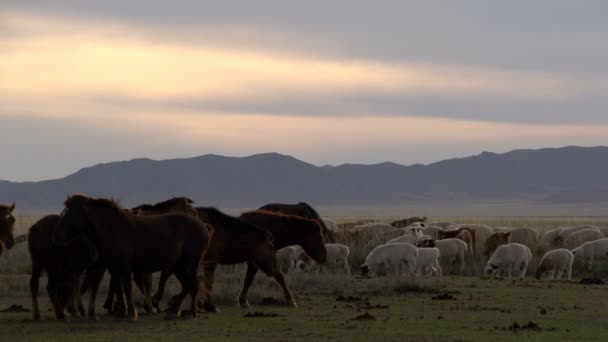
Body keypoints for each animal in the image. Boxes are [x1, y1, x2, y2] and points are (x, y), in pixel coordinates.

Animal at [52, 195, 214, 320]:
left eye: (67, 214)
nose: (56, 237)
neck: (114, 228)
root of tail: (204, 226)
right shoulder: (115, 268)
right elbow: (119, 289)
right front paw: (122, 312)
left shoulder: (125, 267)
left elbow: (127, 288)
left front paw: (131, 313)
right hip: (179, 266)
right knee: (188, 284)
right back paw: (176, 311)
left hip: (189, 265)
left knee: (193, 284)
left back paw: (190, 312)